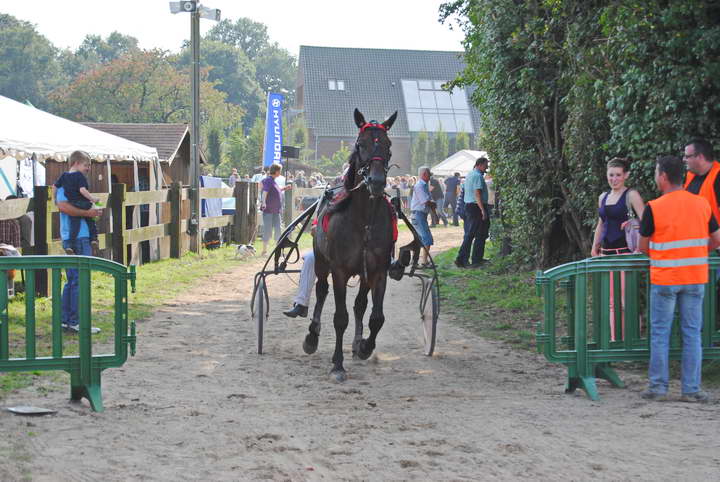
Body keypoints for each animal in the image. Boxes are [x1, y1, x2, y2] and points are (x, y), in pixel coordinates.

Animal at [303, 108, 398, 382]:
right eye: (360, 144)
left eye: (388, 145)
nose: (376, 181)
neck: (363, 221)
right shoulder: (339, 271)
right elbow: (340, 317)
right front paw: (337, 364)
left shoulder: (378, 270)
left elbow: (376, 317)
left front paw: (364, 346)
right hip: (322, 261)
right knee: (321, 291)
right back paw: (312, 336)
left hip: (364, 274)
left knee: (360, 305)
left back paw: (357, 344)